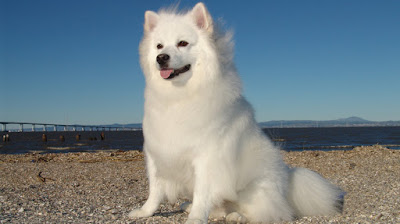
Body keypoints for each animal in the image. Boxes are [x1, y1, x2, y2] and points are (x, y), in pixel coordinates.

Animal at [130, 2, 342, 224]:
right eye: (159, 46)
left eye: (182, 43)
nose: (161, 58)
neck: (179, 97)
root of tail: (288, 184)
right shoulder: (156, 153)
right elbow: (155, 191)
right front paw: (145, 212)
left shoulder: (207, 158)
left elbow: (202, 194)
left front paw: (196, 218)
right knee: (220, 208)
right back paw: (193, 207)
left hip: (254, 189)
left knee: (268, 212)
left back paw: (237, 215)